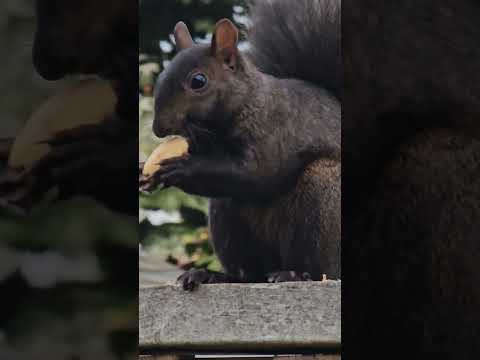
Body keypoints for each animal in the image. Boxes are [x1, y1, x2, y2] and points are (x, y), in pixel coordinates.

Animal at [146, 0, 342, 288]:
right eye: (160, 78)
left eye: (198, 81)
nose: (159, 129)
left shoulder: (274, 134)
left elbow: (256, 172)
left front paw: (180, 168)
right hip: (226, 218)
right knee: (249, 272)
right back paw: (211, 275)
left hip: (323, 199)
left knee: (320, 269)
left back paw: (295, 274)